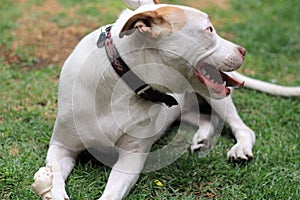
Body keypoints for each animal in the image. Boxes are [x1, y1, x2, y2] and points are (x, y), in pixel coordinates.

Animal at [31, 0, 300, 199]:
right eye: (209, 30)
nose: (243, 50)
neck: (122, 83)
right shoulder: (61, 147)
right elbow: (55, 175)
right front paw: (52, 189)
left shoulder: (131, 159)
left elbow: (111, 193)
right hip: (187, 109)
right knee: (206, 120)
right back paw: (202, 138)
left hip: (217, 96)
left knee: (242, 128)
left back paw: (240, 148)